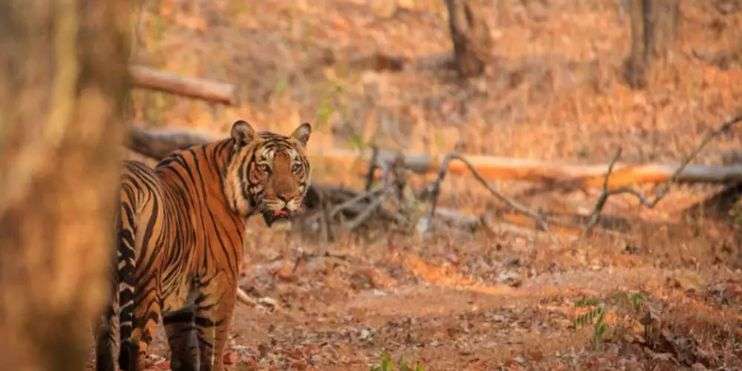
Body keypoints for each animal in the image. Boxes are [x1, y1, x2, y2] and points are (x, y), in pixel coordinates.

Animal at [95, 120, 310, 370]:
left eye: (295, 167)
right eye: (265, 167)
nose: (287, 198)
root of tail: (124, 189)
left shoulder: (182, 299)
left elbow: (184, 350)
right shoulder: (221, 281)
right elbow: (214, 345)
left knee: (105, 343)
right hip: (145, 284)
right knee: (135, 345)